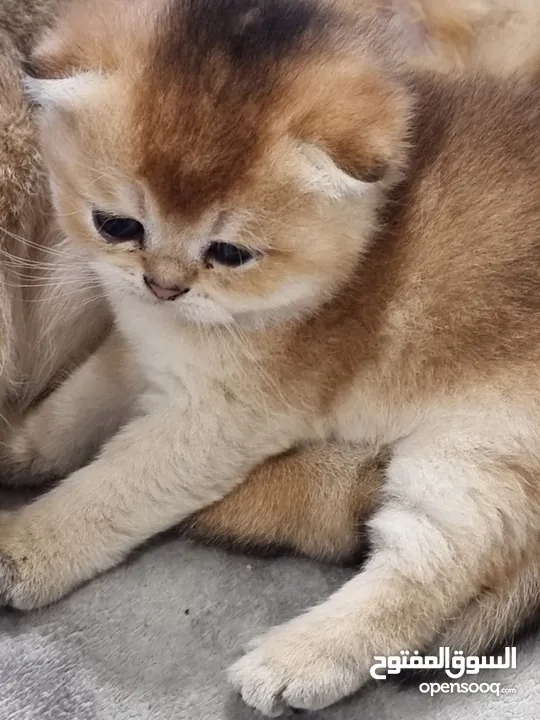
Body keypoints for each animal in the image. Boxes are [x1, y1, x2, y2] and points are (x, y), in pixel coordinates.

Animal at [3, 0, 540, 716]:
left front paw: (23, 549)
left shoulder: (217, 420)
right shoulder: (137, 350)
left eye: (231, 254)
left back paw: (298, 659)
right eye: (116, 225)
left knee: (433, 566)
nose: (163, 286)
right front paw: (17, 446)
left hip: (476, 449)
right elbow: (72, 411)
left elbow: (108, 490)